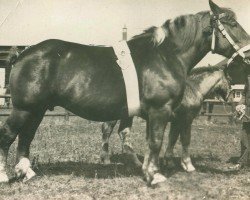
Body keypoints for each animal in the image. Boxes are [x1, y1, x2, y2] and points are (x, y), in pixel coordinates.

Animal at [0, 0, 249, 184]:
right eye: (232, 23)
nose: (247, 54)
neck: (164, 56)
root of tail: (24, 52)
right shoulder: (162, 110)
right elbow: (158, 141)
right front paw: (156, 176)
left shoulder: (157, 114)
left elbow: (152, 142)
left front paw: (149, 171)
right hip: (24, 108)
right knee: (8, 134)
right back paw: (4, 176)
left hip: (38, 109)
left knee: (26, 136)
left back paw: (27, 172)